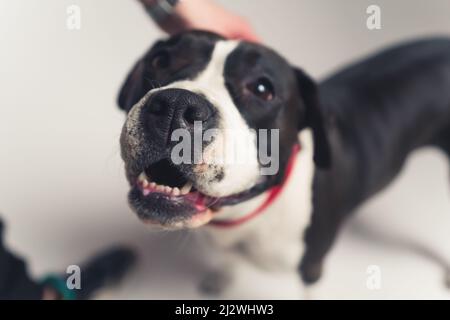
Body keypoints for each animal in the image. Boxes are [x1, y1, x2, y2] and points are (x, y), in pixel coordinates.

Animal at [117, 31, 450, 294]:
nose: (175, 105)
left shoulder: (312, 268)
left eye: (262, 89)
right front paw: (221, 277)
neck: (244, 215)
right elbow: (226, 259)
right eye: (160, 60)